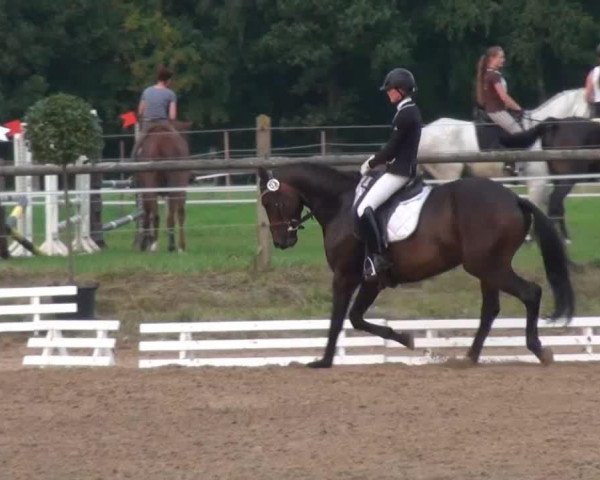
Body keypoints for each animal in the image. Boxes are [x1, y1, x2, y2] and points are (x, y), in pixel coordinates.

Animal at [134, 121, 191, 251]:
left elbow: (147, 211)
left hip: (152, 184)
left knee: (156, 213)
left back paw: (155, 244)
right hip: (178, 183)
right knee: (176, 213)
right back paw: (175, 246)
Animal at [255, 163, 576, 370]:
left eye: (272, 202)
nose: (282, 241)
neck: (341, 205)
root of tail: (515, 199)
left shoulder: (349, 276)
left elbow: (339, 319)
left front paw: (324, 361)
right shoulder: (371, 280)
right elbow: (356, 318)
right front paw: (405, 339)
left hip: (489, 267)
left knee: (531, 293)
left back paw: (538, 350)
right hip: (487, 269)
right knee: (491, 309)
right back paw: (468, 358)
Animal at [502, 116, 600, 244]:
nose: (508, 170)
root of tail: (557, 123)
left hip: (558, 178)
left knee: (556, 204)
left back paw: (565, 238)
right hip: (567, 179)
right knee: (554, 201)